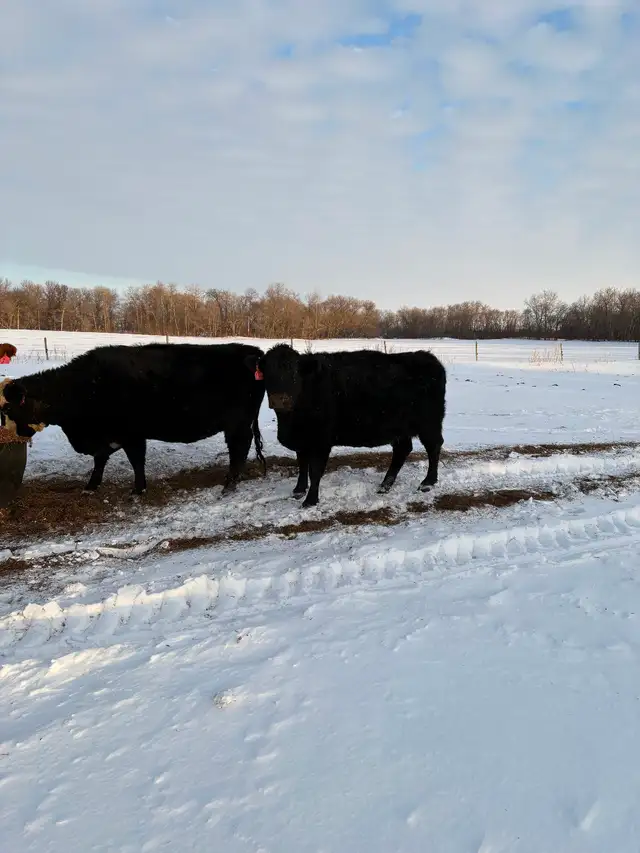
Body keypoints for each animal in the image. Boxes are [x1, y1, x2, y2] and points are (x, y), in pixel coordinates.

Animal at [0, 342, 266, 496]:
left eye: (9, 409)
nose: (18, 434)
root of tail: (252, 351)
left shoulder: (132, 434)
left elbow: (136, 461)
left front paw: (138, 489)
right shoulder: (111, 436)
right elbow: (101, 459)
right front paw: (91, 486)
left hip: (237, 424)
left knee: (238, 449)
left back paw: (230, 484)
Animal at [253, 343, 446, 508]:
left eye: (294, 373)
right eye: (268, 374)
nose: (279, 400)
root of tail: (428, 358)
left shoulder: (321, 441)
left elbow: (315, 470)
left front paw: (310, 500)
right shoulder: (303, 440)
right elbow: (302, 465)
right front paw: (299, 490)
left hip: (429, 424)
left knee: (433, 447)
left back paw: (427, 483)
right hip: (399, 429)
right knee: (402, 450)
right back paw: (385, 485)